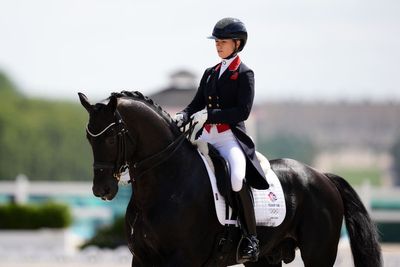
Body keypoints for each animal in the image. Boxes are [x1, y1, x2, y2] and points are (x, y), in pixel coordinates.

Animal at [78, 92, 382, 267]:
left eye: (110, 136)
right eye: (88, 138)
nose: (101, 189)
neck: (166, 184)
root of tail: (321, 176)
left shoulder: (181, 259)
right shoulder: (141, 259)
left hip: (319, 253)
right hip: (267, 258)